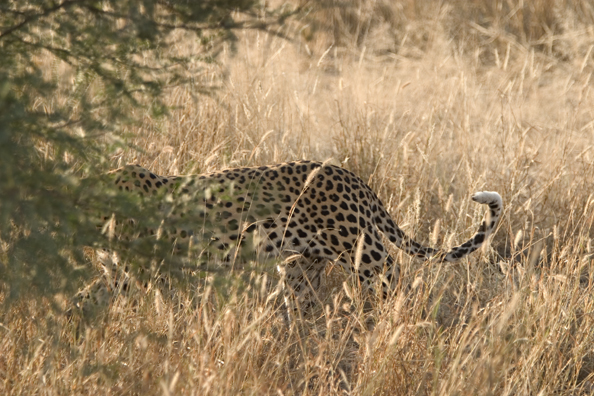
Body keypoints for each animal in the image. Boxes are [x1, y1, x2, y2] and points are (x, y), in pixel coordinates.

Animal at [71, 159, 502, 314]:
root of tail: (351, 176)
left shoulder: (142, 273)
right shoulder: (117, 275)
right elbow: (85, 298)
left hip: (366, 256)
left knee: (397, 284)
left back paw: (402, 328)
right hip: (302, 266)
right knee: (305, 304)